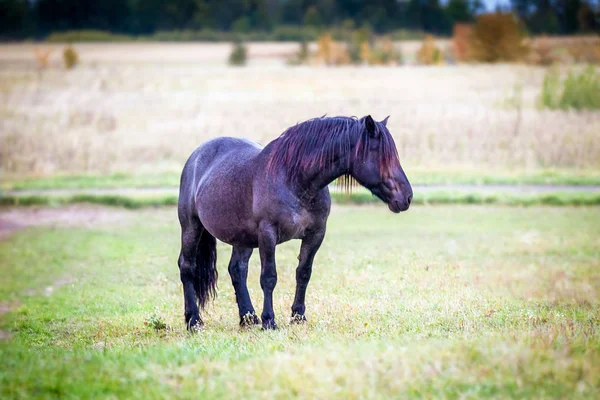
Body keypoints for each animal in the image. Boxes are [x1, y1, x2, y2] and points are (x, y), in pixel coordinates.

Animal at [178, 114, 412, 330]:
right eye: (381, 154)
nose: (407, 197)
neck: (295, 180)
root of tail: (196, 155)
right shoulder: (267, 233)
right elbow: (269, 277)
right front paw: (269, 321)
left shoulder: (315, 234)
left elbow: (303, 273)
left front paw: (298, 317)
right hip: (191, 226)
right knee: (187, 266)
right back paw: (194, 321)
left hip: (242, 238)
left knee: (237, 270)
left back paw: (248, 318)